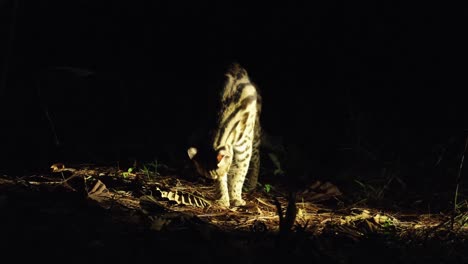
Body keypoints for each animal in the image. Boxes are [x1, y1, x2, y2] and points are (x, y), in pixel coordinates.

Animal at [187, 63, 262, 207]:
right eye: (212, 177)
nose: (212, 180)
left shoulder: (244, 150)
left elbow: (239, 175)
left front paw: (236, 197)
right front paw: (223, 198)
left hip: (255, 133)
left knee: (256, 158)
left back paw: (251, 184)